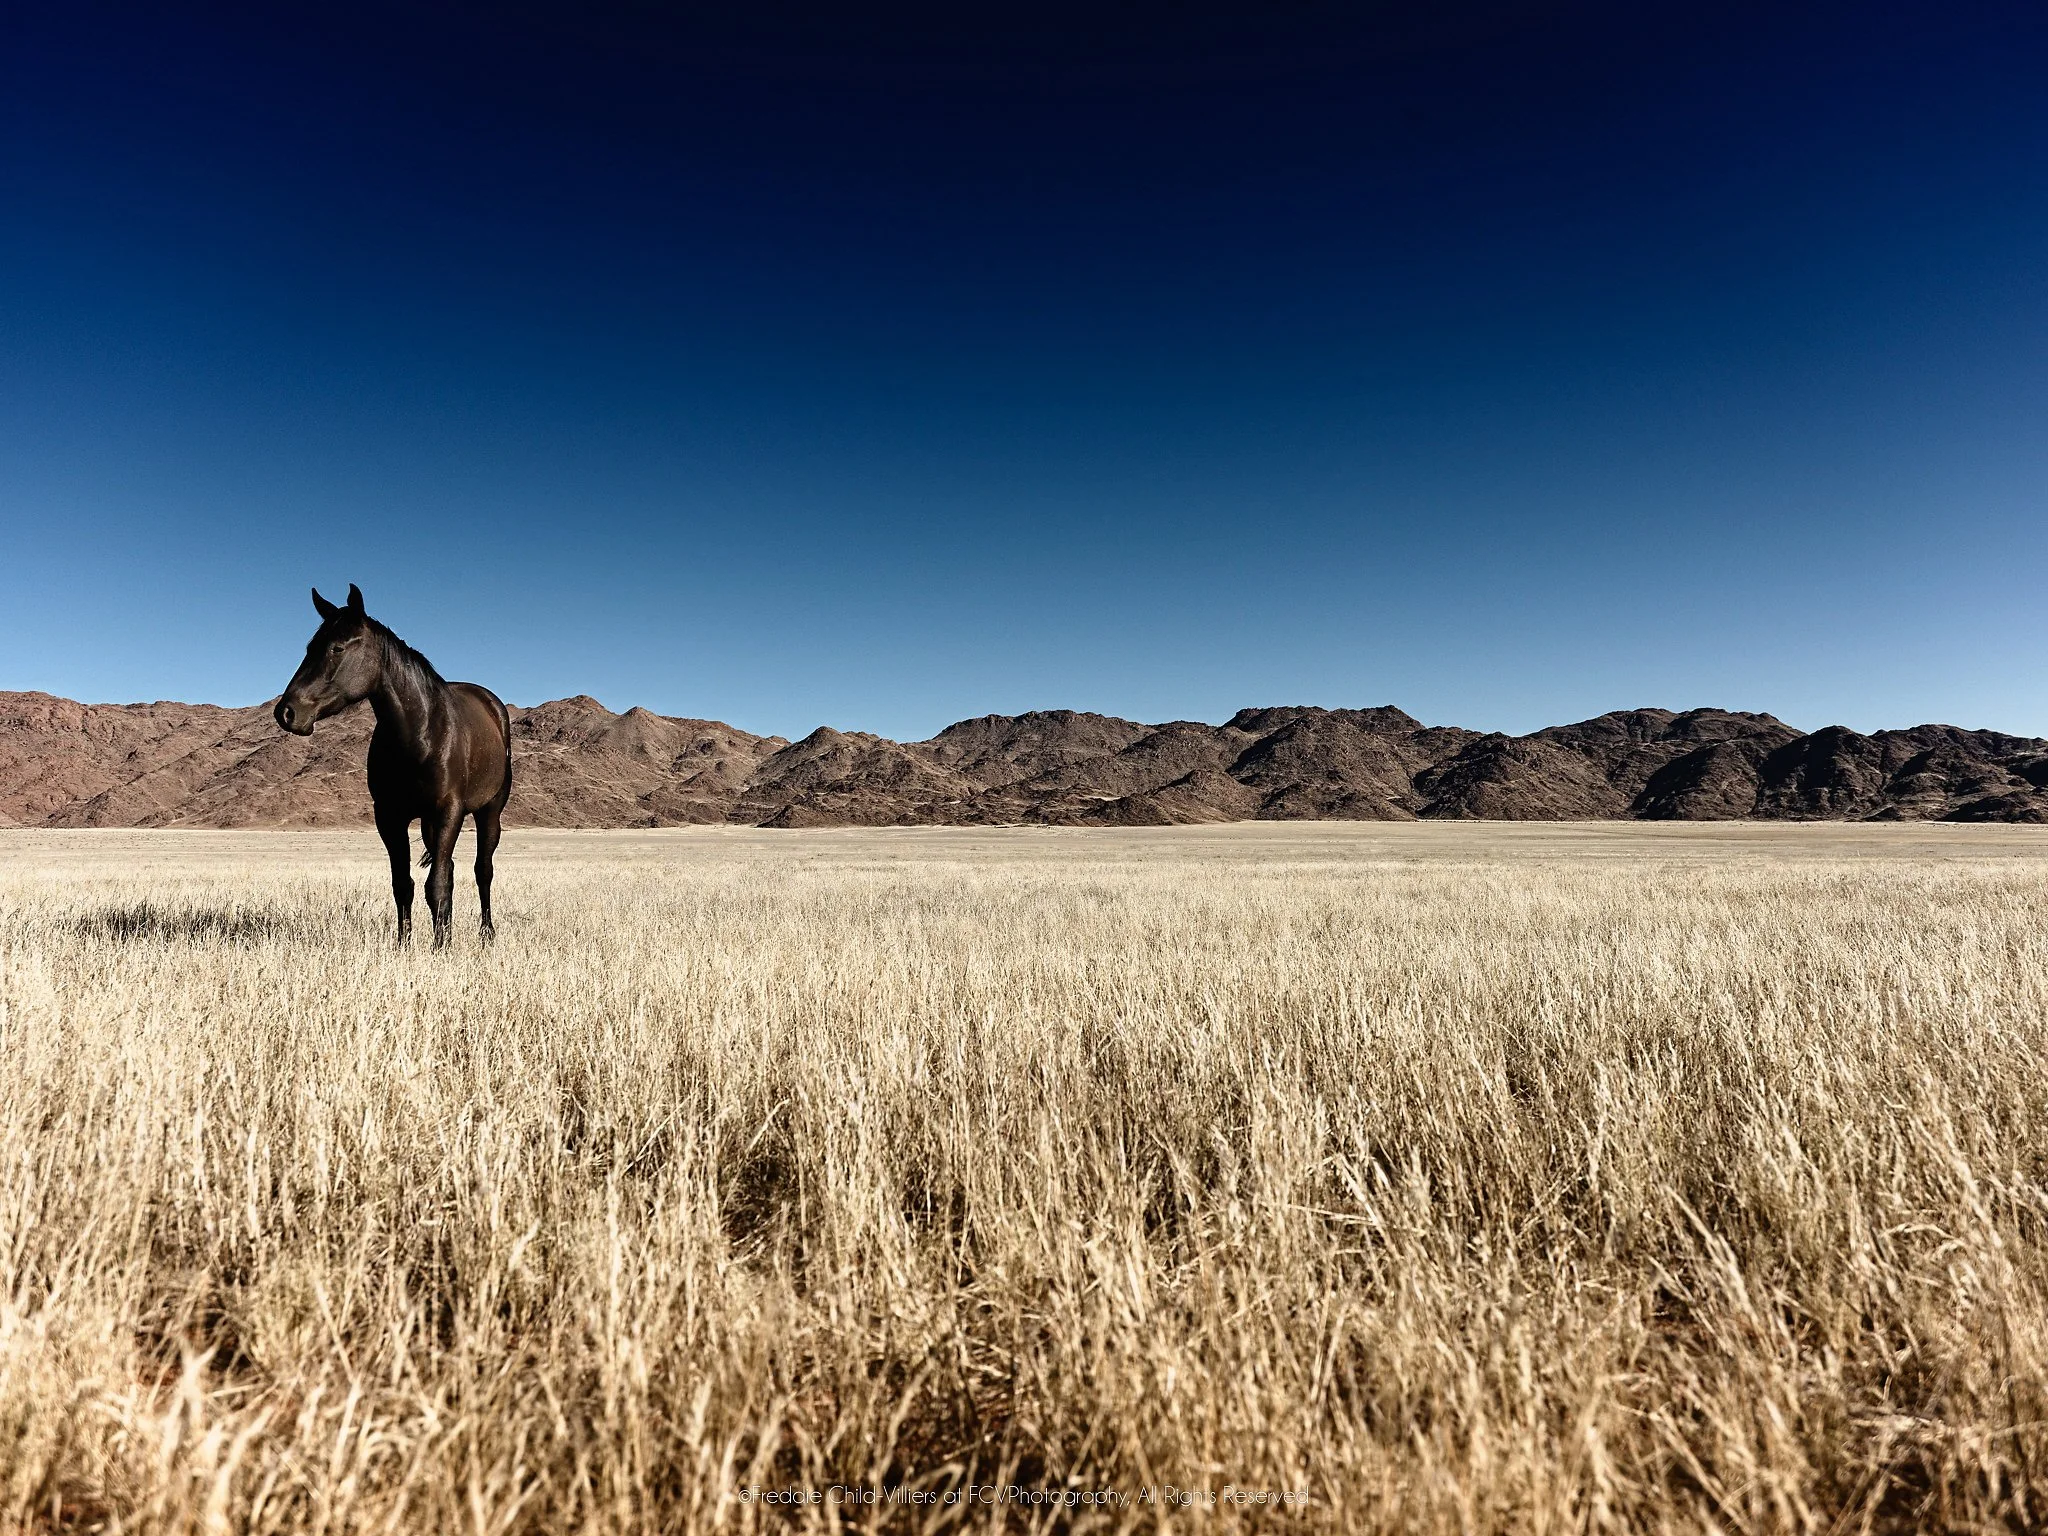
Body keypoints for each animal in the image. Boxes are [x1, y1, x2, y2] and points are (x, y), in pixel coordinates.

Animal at [275, 584, 512, 947]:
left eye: (337, 647)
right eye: (309, 648)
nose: (286, 712)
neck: (421, 733)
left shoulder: (449, 811)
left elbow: (437, 885)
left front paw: (440, 948)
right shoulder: (389, 817)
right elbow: (404, 884)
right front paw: (405, 944)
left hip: (490, 812)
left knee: (482, 871)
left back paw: (486, 934)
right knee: (449, 868)